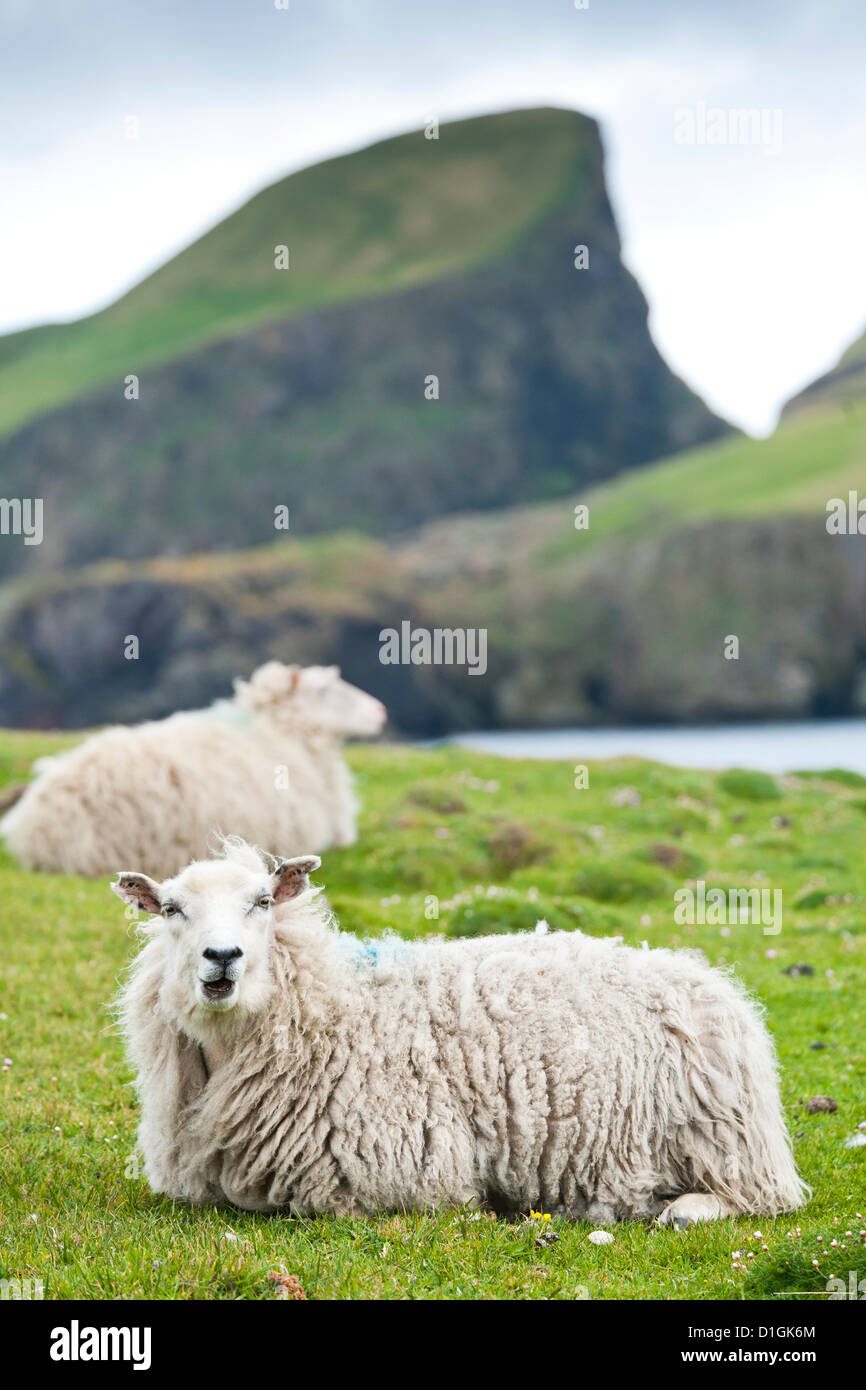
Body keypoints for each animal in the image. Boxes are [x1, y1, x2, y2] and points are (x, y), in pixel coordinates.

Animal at [111, 834, 811, 1228]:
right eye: (171, 909)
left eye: (262, 902)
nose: (222, 956)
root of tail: (713, 982)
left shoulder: (399, 1176)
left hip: (725, 1140)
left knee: (761, 1199)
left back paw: (677, 1210)